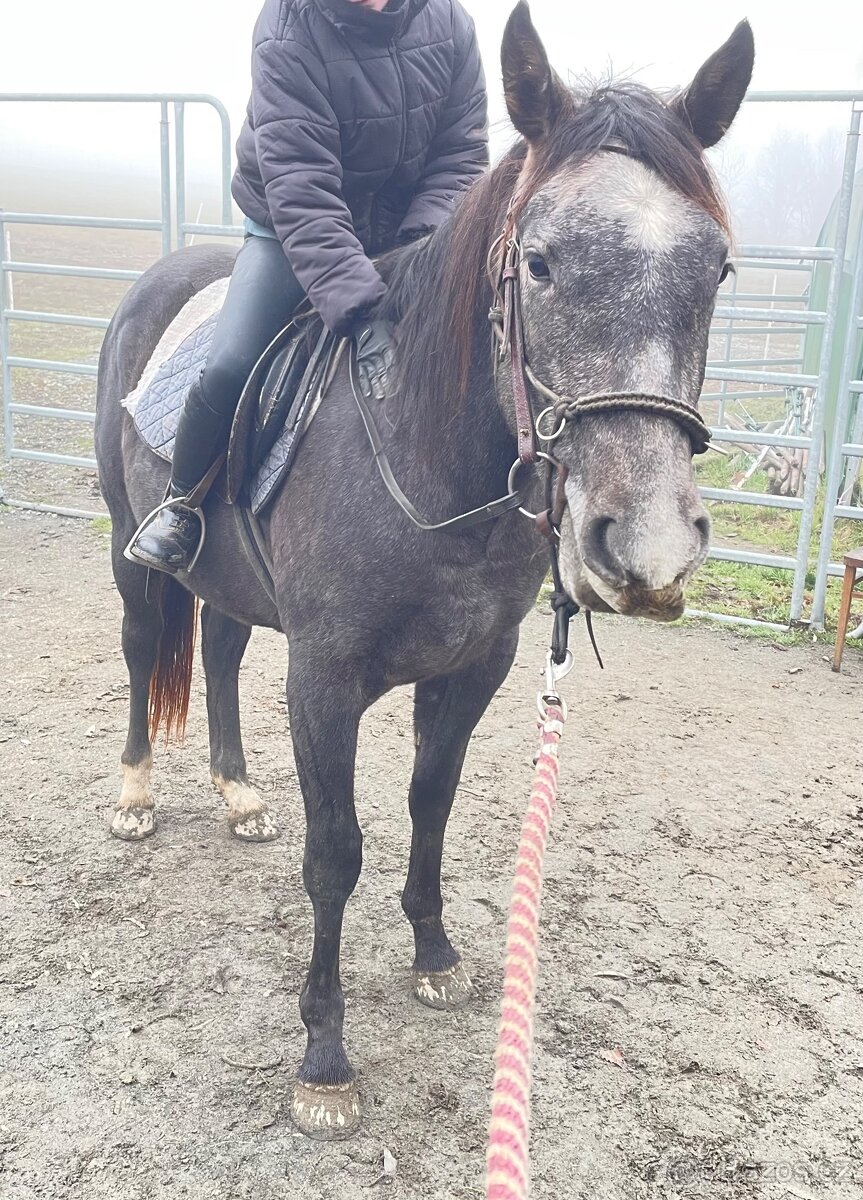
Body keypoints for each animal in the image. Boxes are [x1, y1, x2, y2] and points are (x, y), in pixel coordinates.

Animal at [94, 2, 753, 1138]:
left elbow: (428, 805)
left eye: (712, 269)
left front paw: (435, 953)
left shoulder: (474, 668)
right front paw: (323, 1058)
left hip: (234, 587)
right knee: (146, 653)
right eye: (539, 262)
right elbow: (336, 852)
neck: (423, 463)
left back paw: (237, 793)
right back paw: (138, 794)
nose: (647, 551)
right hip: (131, 548)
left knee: (216, 652)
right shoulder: (324, 681)